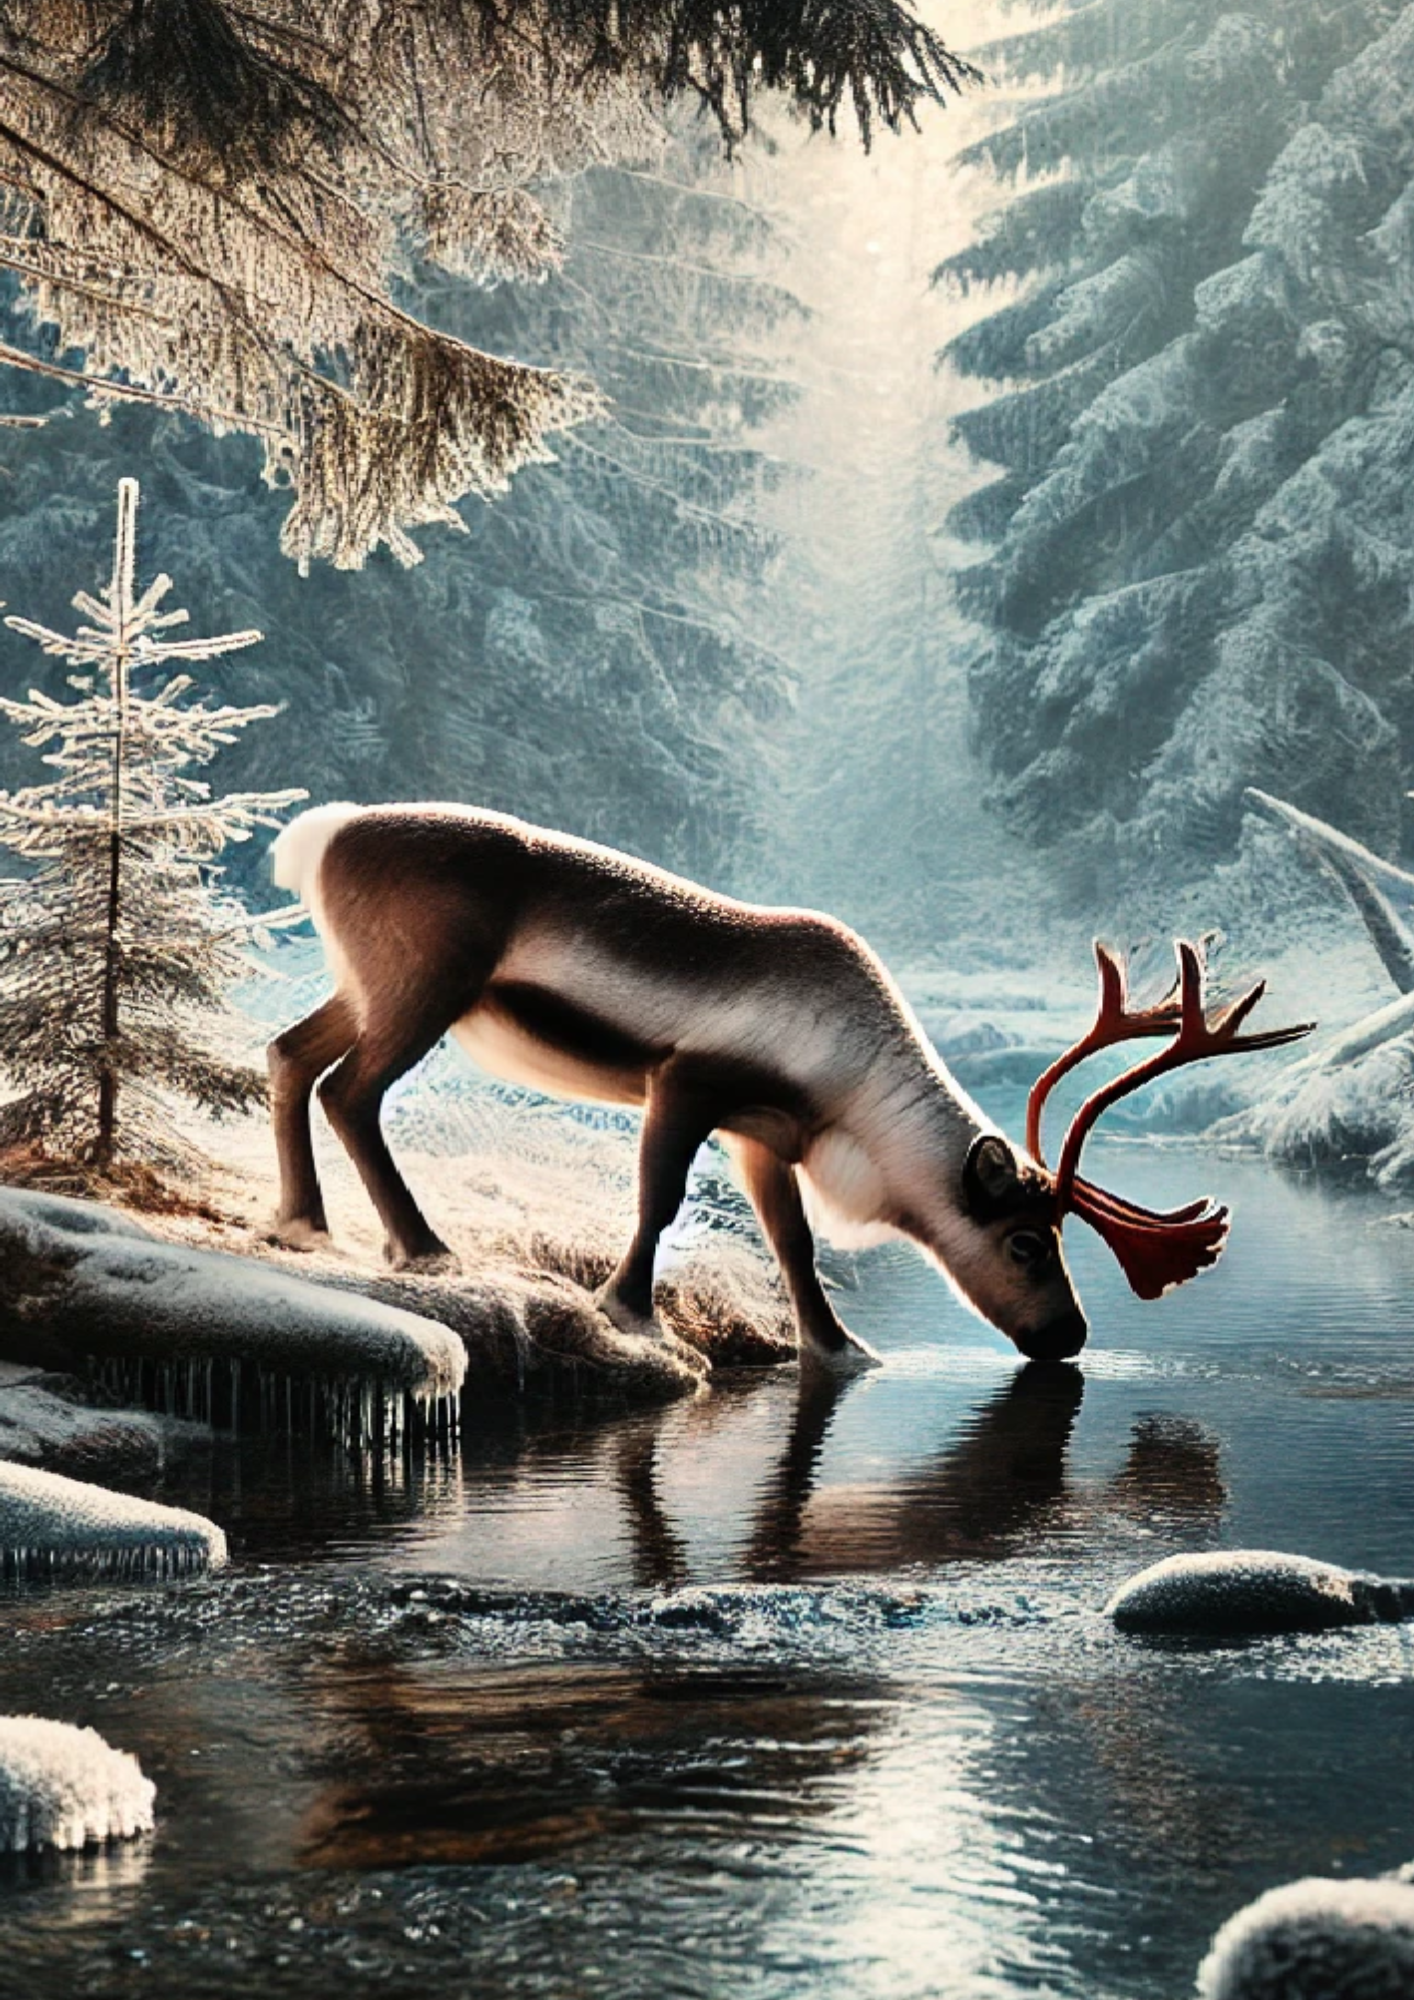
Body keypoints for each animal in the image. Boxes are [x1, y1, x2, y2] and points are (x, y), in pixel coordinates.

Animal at [266, 802, 1313, 1374]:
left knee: (289, 1053)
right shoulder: (687, 1080)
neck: (853, 1098)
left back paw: (303, 1223)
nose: (1068, 1337)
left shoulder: (763, 1134)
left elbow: (796, 1243)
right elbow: (659, 1200)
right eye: (1025, 1241)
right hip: (424, 984)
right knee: (351, 1090)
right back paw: (420, 1245)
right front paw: (631, 1313)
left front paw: (842, 1348)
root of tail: (314, 837)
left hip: (368, 985)